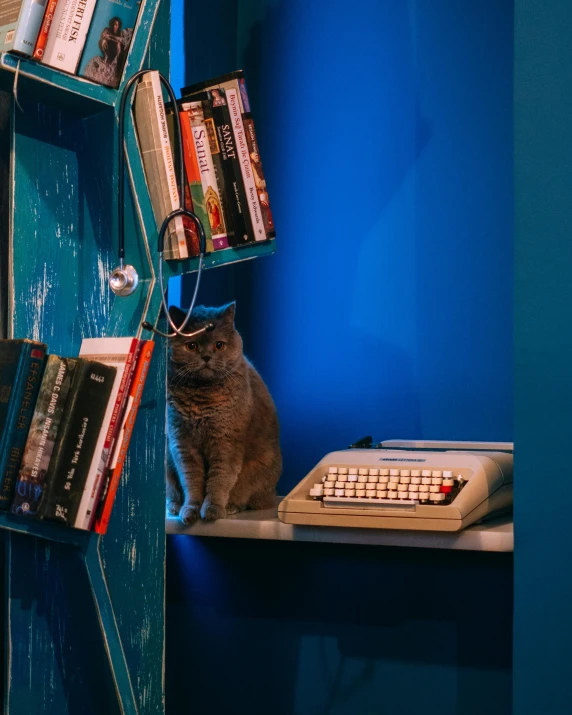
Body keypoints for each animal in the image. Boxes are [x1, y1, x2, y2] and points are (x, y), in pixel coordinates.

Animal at [165, 304, 282, 524]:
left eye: (219, 345)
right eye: (191, 346)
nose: (206, 357)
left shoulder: (226, 442)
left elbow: (220, 478)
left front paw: (212, 510)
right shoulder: (182, 443)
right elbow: (191, 480)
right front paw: (190, 510)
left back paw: (232, 507)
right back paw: (175, 507)